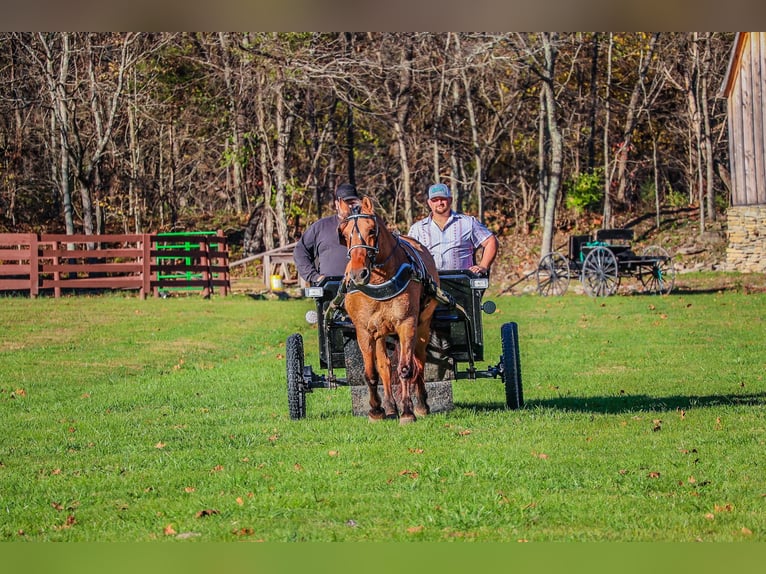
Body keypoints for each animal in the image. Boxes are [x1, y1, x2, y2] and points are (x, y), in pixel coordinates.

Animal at [338, 196, 440, 424]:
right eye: (344, 234)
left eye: (371, 230)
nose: (357, 274)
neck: (379, 281)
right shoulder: (364, 331)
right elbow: (372, 373)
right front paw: (376, 410)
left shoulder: (407, 324)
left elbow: (405, 369)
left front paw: (408, 411)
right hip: (380, 333)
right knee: (384, 366)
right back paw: (391, 407)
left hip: (423, 325)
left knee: (419, 361)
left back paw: (421, 404)